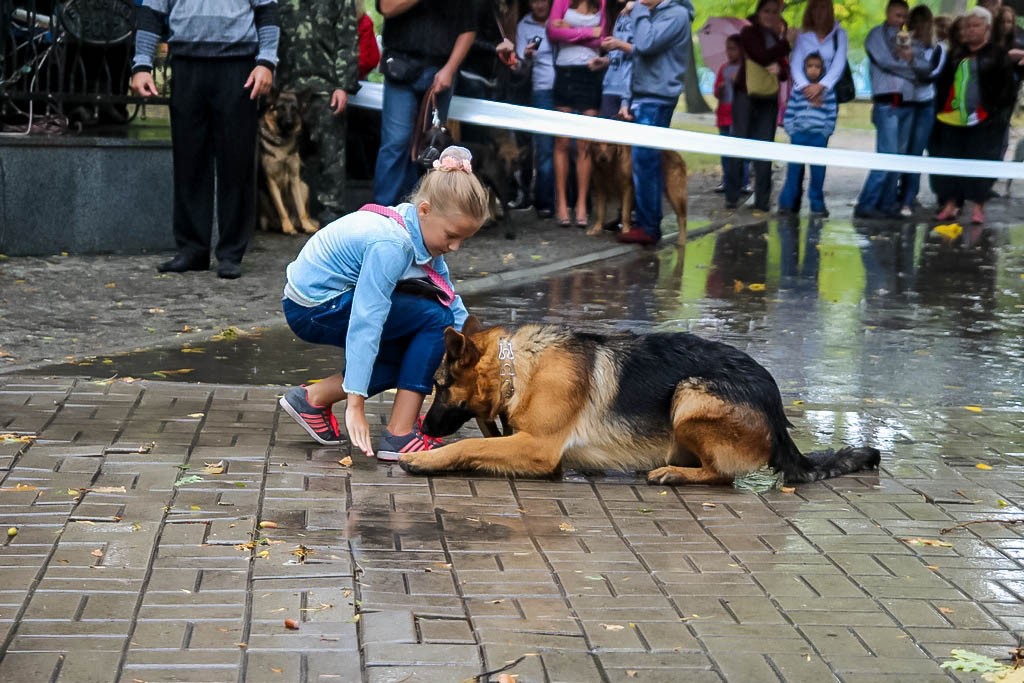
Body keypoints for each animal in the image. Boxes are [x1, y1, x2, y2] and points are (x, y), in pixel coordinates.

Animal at [258, 90, 317, 236]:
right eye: (280, 108)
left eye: (294, 109)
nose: (290, 122)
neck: (282, 142)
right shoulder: (271, 181)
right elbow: (281, 209)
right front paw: (288, 228)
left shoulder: (294, 178)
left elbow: (301, 209)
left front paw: (307, 226)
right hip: (262, 196)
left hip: (304, 186)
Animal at [399, 319, 880, 485]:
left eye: (439, 386)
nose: (423, 431)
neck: (517, 366)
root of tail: (776, 408)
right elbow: (480, 443)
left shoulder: (539, 450)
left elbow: (467, 444)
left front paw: (426, 459)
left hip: (689, 395)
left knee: (723, 475)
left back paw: (674, 473)